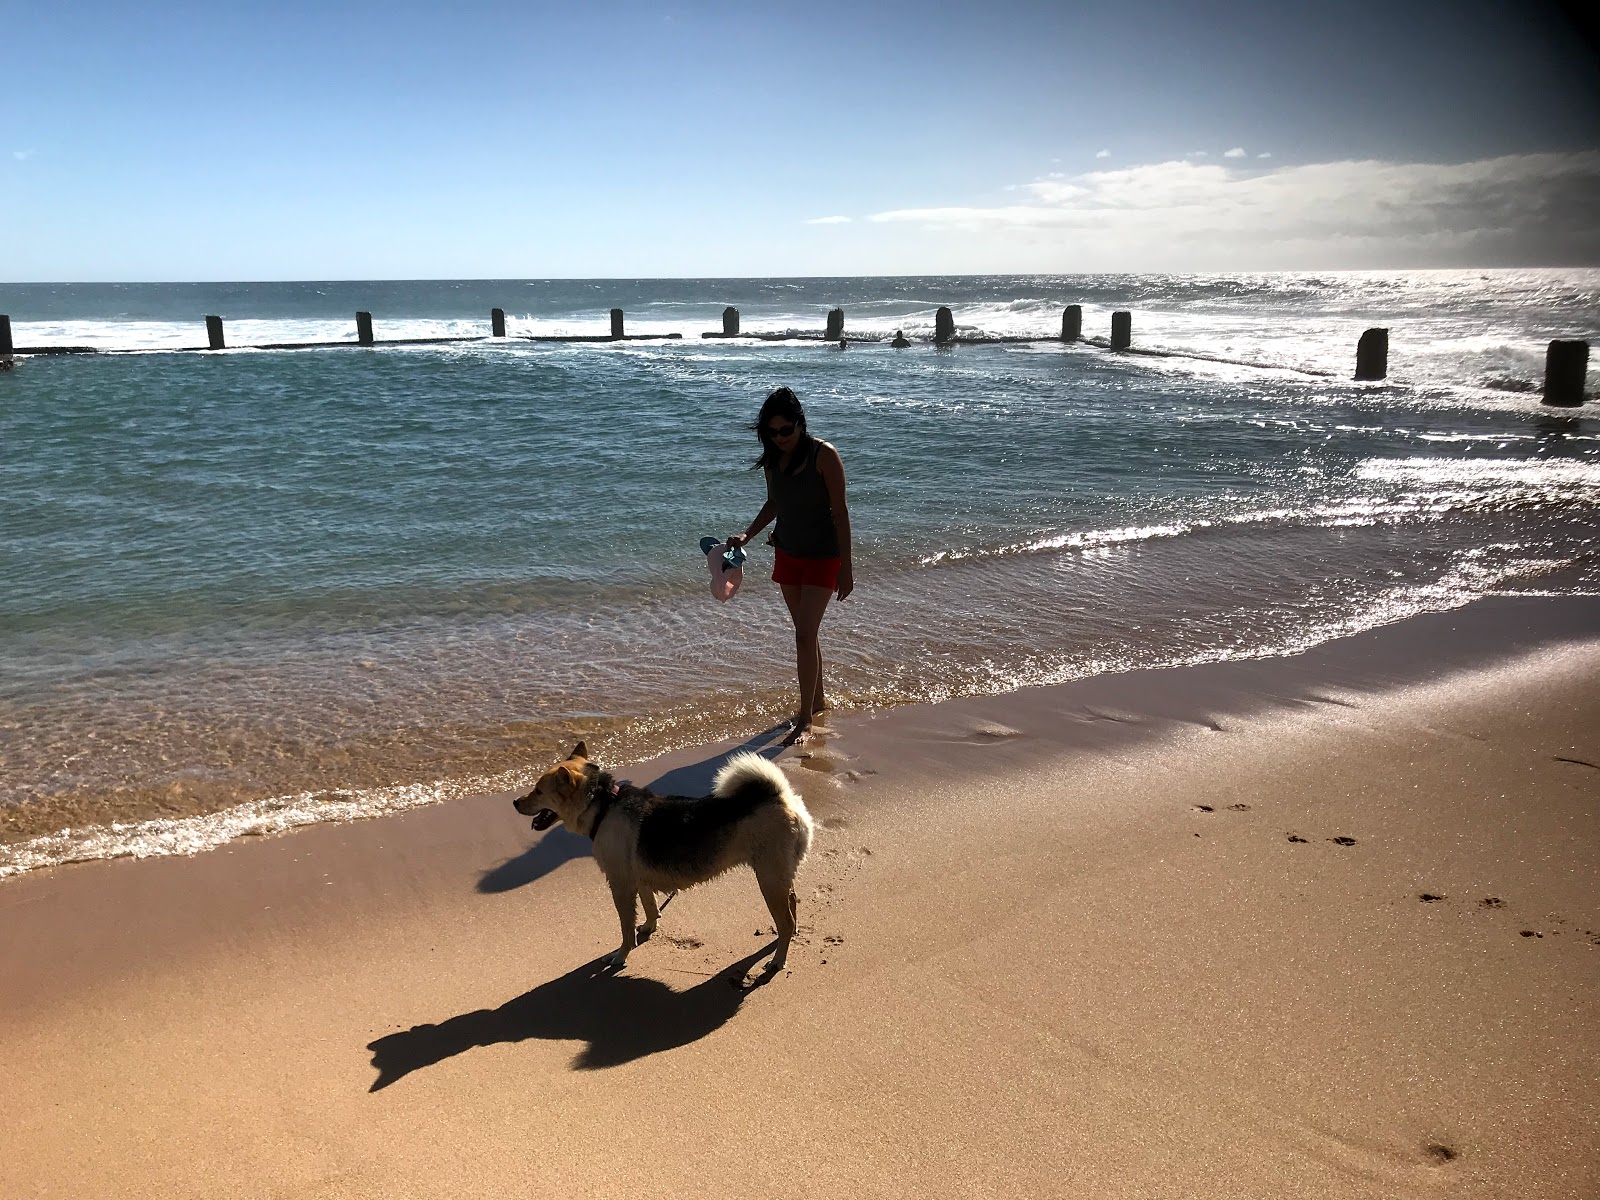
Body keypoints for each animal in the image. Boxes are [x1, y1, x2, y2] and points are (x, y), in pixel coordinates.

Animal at [512, 748, 812, 972]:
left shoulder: (621, 887)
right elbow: (649, 907)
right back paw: (790, 937)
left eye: (538, 791)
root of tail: (781, 798)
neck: (603, 806)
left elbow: (625, 928)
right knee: (792, 903)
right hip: (779, 875)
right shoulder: (640, 881)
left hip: (768, 879)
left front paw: (621, 956)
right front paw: (648, 928)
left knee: (784, 919)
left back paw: (778, 960)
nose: (515, 802)